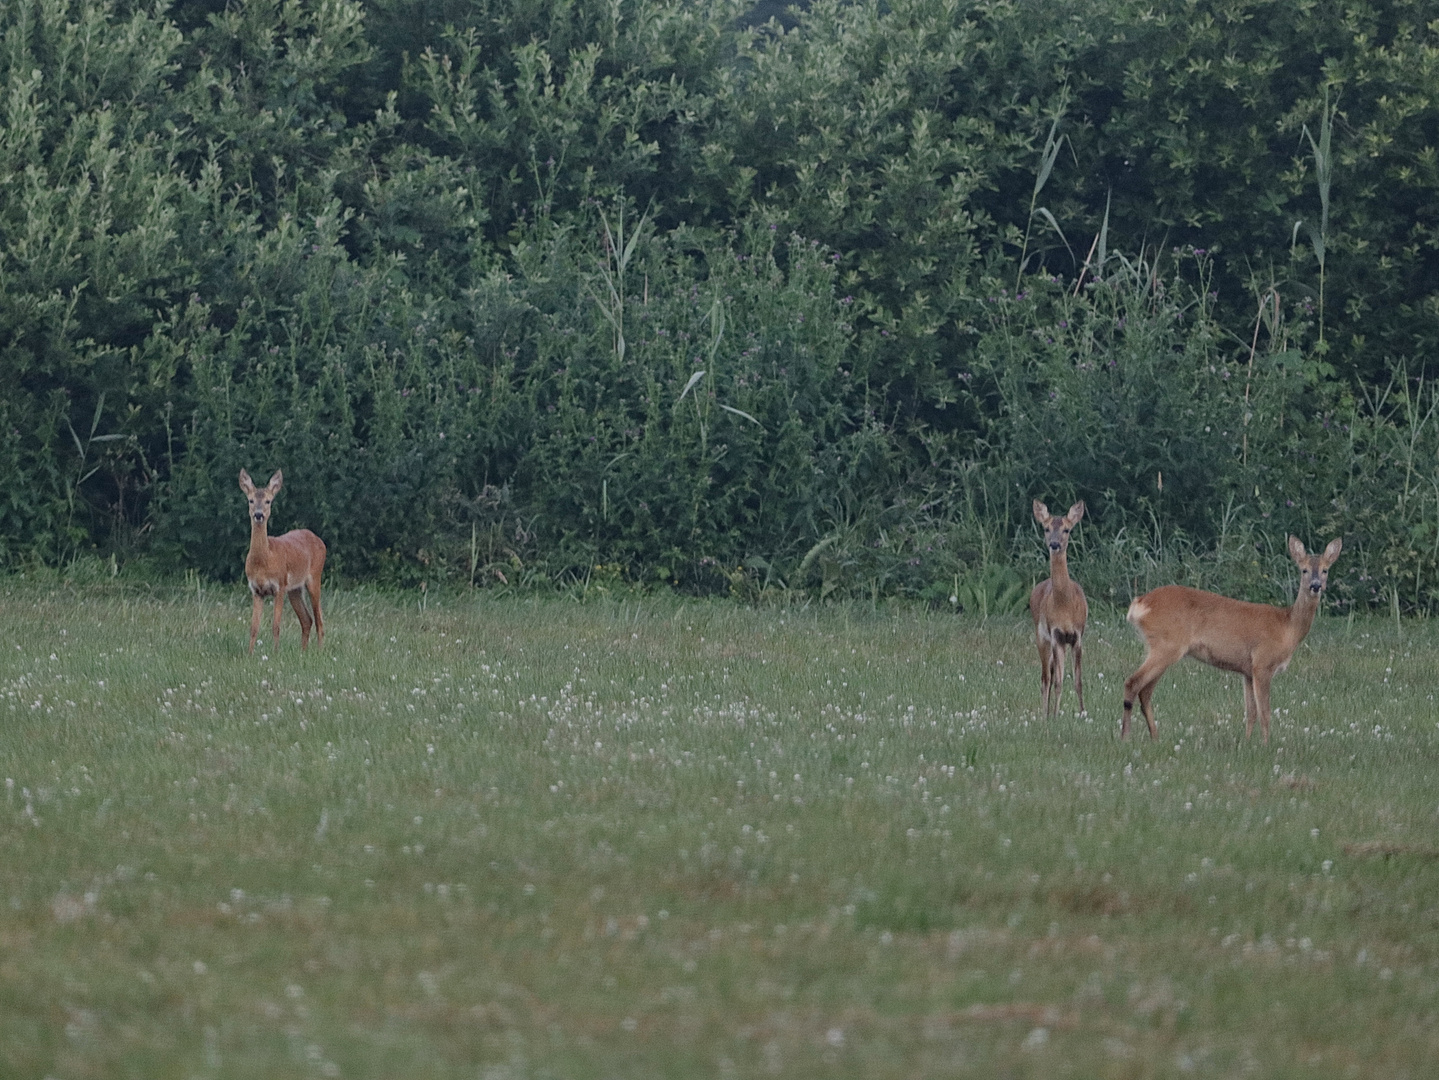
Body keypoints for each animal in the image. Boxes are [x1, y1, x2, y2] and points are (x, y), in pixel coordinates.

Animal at [237, 468, 325, 655]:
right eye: (250, 500)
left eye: (268, 501)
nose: (258, 515)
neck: (264, 560)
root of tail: (319, 540)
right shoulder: (256, 590)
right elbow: (253, 627)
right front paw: (249, 654)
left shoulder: (280, 585)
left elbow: (276, 626)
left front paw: (275, 653)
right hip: (295, 589)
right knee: (307, 620)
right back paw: (303, 652)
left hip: (314, 578)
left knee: (319, 619)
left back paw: (320, 651)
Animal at [1116, 537, 1341, 747]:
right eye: (1304, 570)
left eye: (1325, 570)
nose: (1315, 586)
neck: (1288, 628)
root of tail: (1139, 604)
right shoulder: (1262, 663)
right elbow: (1265, 712)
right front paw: (1266, 746)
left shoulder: (1247, 671)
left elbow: (1251, 712)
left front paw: (1247, 743)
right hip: (1166, 645)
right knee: (1132, 682)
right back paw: (1126, 737)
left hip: (1158, 647)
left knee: (1145, 691)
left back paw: (1155, 738)